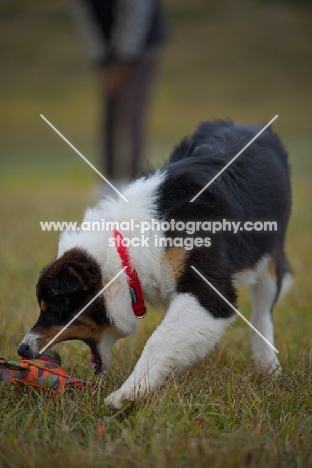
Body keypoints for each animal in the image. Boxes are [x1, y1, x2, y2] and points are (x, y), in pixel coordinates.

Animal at [17, 119, 292, 406]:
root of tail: (250, 125)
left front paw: (127, 393)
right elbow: (175, 336)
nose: (21, 349)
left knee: (262, 312)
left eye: (55, 309)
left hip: (270, 258)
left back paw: (268, 366)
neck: (125, 251)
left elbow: (160, 339)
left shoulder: (209, 292)